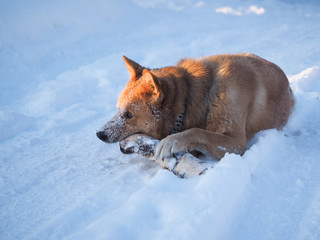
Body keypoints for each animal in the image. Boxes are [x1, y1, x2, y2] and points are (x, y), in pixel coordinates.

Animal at [96, 54, 294, 170]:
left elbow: (198, 131)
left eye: (129, 115)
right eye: (118, 109)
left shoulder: (237, 144)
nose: (99, 134)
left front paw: (172, 141)